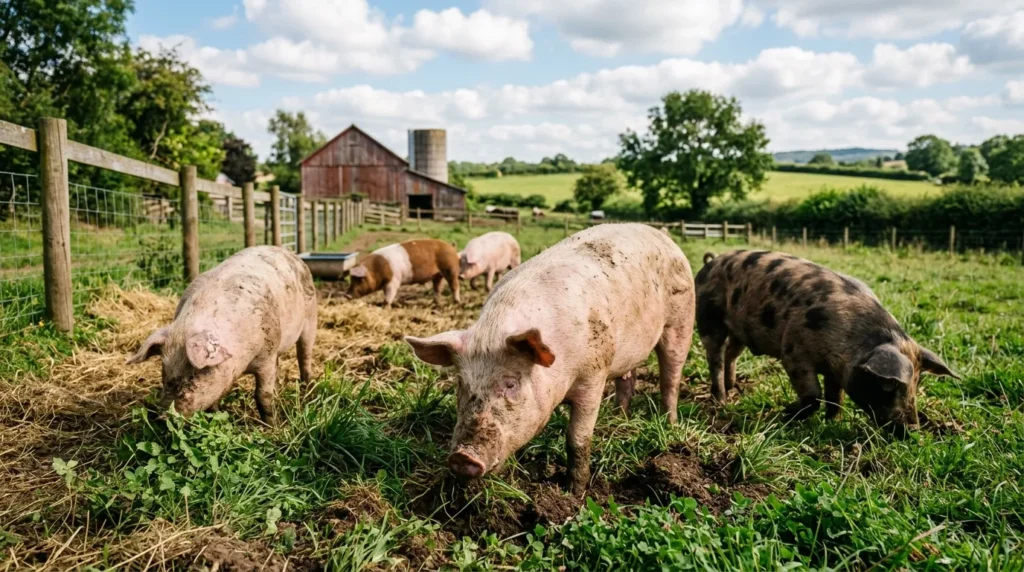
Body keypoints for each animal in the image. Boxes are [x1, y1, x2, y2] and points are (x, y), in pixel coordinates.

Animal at [127, 246, 317, 425]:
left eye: (193, 374)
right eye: (164, 371)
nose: (163, 418)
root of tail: (290, 253)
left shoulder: (266, 354)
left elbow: (263, 395)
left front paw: (272, 427)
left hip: (310, 318)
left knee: (304, 355)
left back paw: (307, 387)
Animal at [404, 223, 696, 496]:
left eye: (511, 384)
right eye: (461, 385)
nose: (462, 456)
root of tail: (662, 235)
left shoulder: (594, 373)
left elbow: (577, 437)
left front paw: (574, 493)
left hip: (681, 321)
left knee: (671, 377)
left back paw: (669, 424)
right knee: (628, 379)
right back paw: (619, 417)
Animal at [695, 250, 959, 436]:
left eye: (918, 380)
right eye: (888, 385)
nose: (913, 429)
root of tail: (710, 263)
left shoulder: (836, 368)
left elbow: (835, 397)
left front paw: (832, 421)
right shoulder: (794, 352)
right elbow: (814, 395)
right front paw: (785, 413)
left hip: (739, 330)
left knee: (732, 353)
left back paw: (734, 387)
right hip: (708, 318)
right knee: (715, 357)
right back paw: (721, 402)